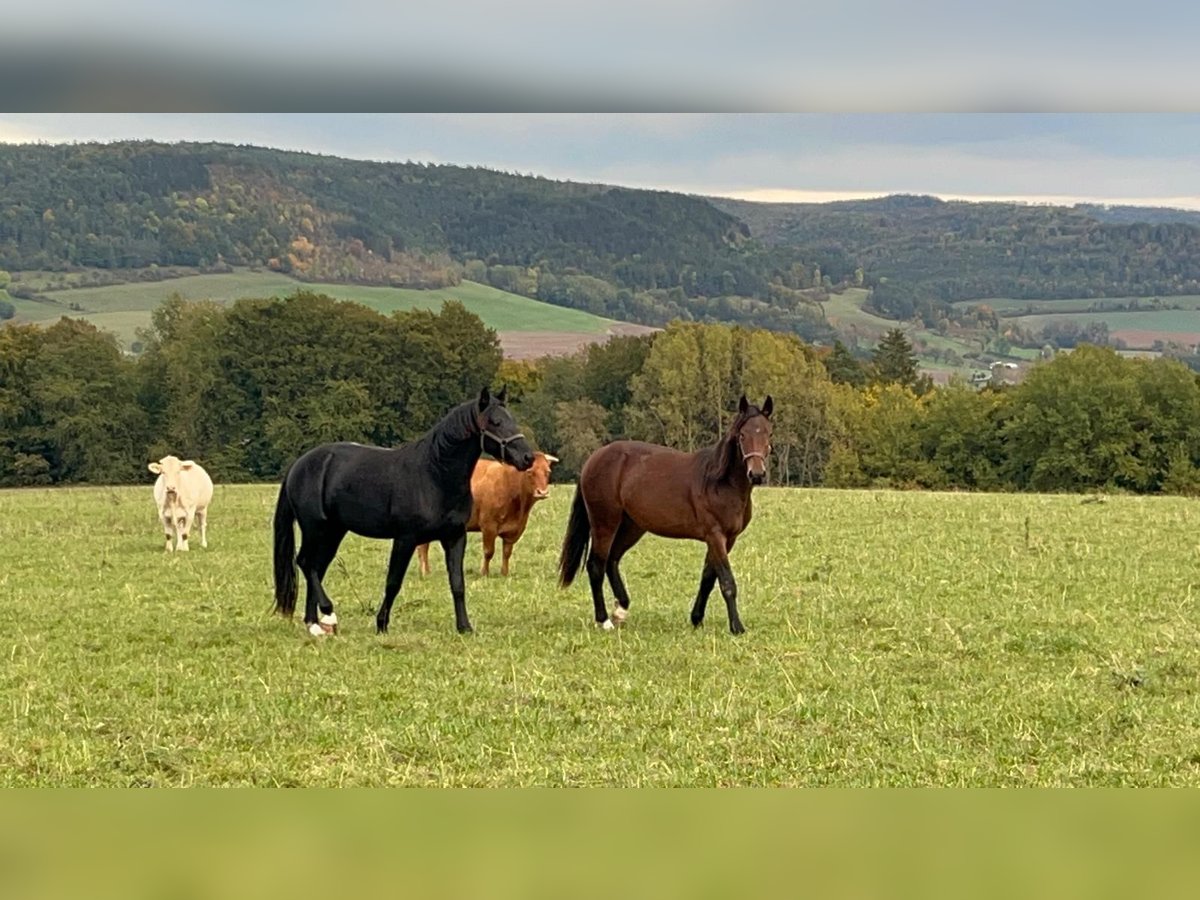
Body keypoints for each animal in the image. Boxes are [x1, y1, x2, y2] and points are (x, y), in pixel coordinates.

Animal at [276, 388, 535, 633]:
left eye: (511, 419)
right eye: (495, 422)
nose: (528, 457)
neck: (434, 475)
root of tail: (299, 464)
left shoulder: (454, 537)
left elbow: (457, 584)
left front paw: (464, 627)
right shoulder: (405, 539)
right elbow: (393, 582)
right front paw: (381, 624)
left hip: (333, 532)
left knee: (317, 568)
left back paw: (314, 624)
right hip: (315, 528)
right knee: (306, 563)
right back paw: (327, 614)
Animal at [417, 458, 556, 578]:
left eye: (548, 472)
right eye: (530, 472)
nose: (542, 492)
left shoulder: (513, 530)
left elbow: (507, 552)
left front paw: (504, 573)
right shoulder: (488, 526)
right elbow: (489, 551)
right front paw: (484, 573)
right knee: (424, 547)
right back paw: (425, 572)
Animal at [556, 393, 772, 633]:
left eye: (768, 433)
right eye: (742, 435)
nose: (757, 474)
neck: (721, 483)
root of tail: (593, 459)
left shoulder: (728, 539)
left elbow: (708, 578)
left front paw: (697, 618)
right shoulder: (715, 536)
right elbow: (726, 582)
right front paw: (737, 627)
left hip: (631, 526)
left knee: (612, 560)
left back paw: (621, 609)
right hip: (605, 523)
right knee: (596, 565)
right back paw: (604, 620)